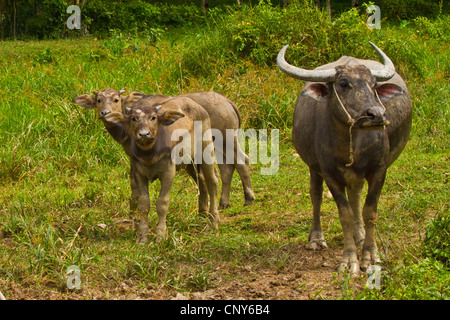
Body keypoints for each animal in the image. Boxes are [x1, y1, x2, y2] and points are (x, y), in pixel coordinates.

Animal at [280, 41, 414, 274]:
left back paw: (359, 235)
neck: (352, 143)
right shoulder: (330, 174)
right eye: (343, 83)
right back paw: (316, 239)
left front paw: (370, 255)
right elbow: (345, 215)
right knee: (316, 195)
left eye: (373, 84)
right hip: (314, 168)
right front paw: (350, 260)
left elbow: (369, 210)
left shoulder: (379, 170)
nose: (377, 115)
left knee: (356, 195)